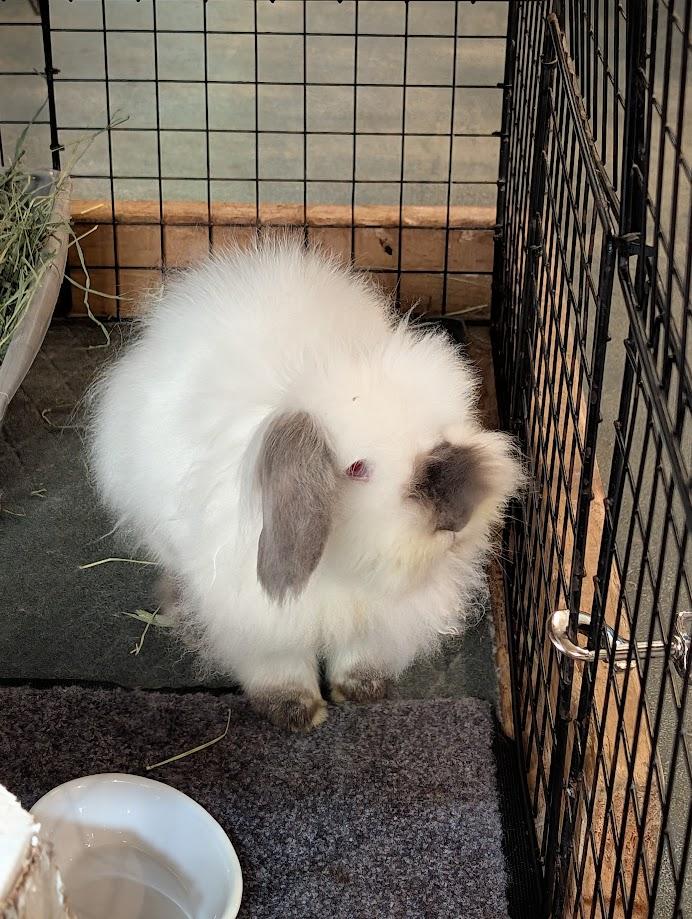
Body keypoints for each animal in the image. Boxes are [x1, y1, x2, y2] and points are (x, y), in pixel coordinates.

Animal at [88, 234, 522, 731]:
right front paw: (296, 713)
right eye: (357, 468)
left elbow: (362, 655)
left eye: (444, 433)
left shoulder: (381, 619)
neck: (345, 572)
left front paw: (362, 692)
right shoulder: (257, 623)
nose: (456, 514)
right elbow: (279, 669)